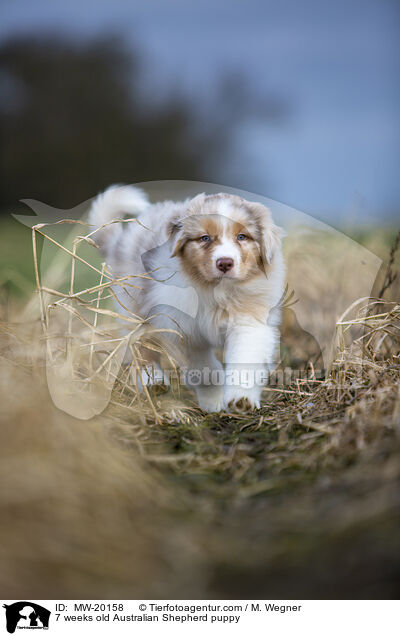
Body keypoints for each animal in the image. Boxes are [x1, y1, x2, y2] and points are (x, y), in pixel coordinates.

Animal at [89, 185, 286, 412]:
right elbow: (204, 368)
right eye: (205, 238)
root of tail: (120, 241)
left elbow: (245, 358)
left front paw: (240, 400)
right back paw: (153, 382)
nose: (225, 263)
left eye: (242, 237)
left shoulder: (249, 322)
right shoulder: (183, 330)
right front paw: (213, 401)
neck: (215, 291)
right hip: (134, 308)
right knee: (141, 348)